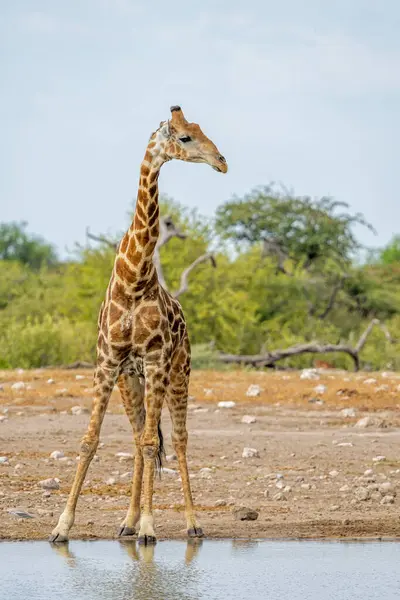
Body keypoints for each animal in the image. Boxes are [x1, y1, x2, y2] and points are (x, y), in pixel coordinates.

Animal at [48, 105, 227, 548]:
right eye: (185, 137)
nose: (222, 161)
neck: (133, 278)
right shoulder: (108, 362)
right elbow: (90, 440)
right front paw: (62, 526)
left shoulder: (157, 360)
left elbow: (152, 443)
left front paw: (150, 526)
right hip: (133, 381)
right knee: (137, 436)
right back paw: (127, 523)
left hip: (177, 373)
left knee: (176, 439)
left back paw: (190, 524)